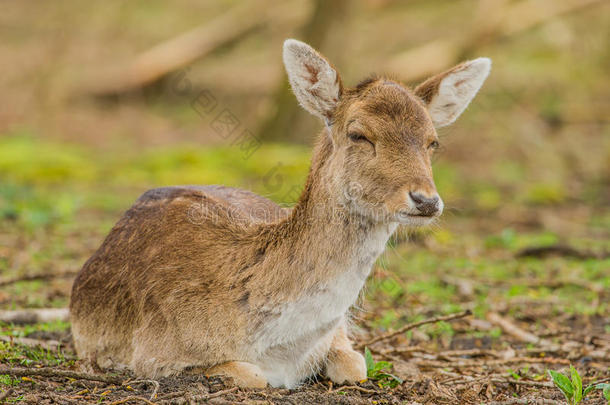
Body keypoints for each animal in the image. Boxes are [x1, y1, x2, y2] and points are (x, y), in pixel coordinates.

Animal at [70, 39, 490, 386]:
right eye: (359, 134)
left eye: (433, 142)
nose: (426, 201)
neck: (281, 348)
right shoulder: (152, 355)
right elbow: (251, 375)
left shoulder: (340, 333)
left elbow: (355, 366)